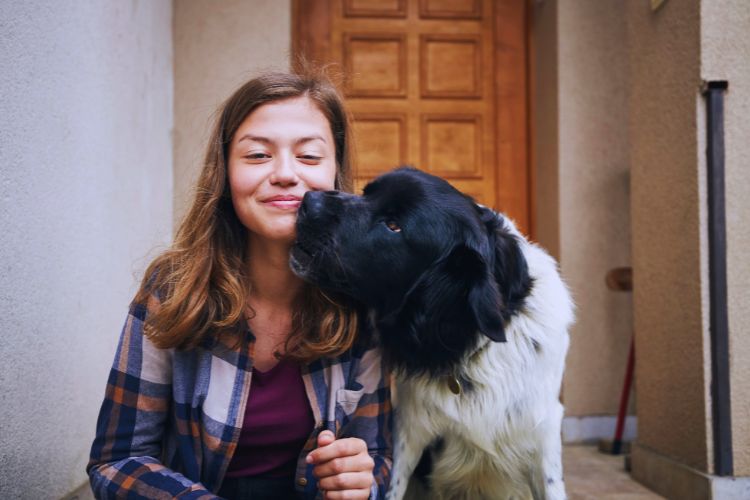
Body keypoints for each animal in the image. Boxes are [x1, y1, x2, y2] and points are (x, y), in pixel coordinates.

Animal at [290, 168, 572, 500]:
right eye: (367, 192)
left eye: (394, 225)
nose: (308, 200)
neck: (467, 345)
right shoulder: (410, 430)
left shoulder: (543, 430)